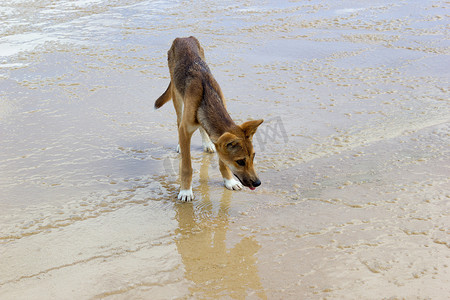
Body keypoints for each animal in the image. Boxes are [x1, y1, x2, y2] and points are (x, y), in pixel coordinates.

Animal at [156, 37, 264, 202]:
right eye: (240, 161)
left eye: (253, 157)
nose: (257, 183)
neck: (206, 99)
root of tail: (183, 38)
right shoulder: (185, 130)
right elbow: (187, 167)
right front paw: (185, 191)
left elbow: (223, 161)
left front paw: (229, 181)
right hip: (177, 97)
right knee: (178, 121)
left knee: (202, 128)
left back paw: (207, 143)